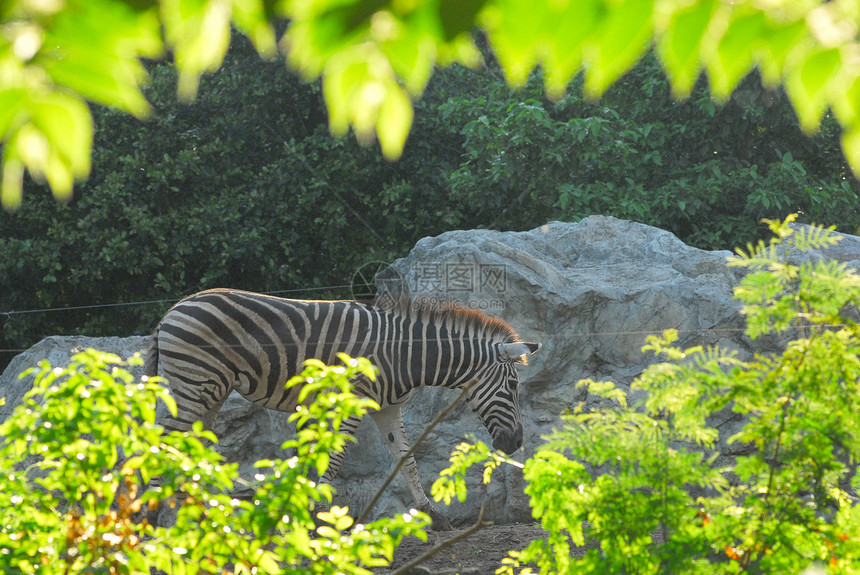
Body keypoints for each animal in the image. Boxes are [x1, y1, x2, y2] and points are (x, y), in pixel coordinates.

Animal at [144, 290, 540, 528]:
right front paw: (320, 515)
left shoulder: (386, 408)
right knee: (163, 444)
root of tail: (170, 312)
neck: (406, 354)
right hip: (196, 386)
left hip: (211, 391)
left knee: (190, 447)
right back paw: (151, 517)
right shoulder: (352, 400)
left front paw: (432, 514)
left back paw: (196, 516)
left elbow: (407, 458)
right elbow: (334, 457)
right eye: (513, 386)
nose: (516, 444)